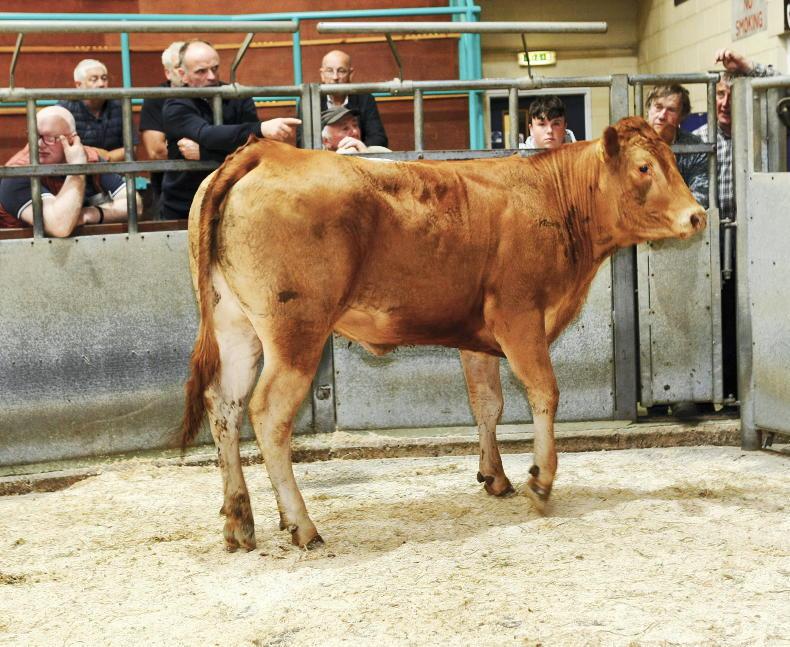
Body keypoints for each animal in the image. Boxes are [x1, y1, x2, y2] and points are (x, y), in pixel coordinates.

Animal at [181, 116, 706, 552]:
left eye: (671, 161)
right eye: (643, 167)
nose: (697, 215)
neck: (550, 198)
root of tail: (268, 152)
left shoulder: (478, 338)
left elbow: (487, 404)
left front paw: (495, 477)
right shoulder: (519, 315)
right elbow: (544, 391)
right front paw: (540, 480)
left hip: (237, 328)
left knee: (224, 407)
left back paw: (239, 523)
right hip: (296, 333)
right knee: (268, 415)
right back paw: (302, 525)